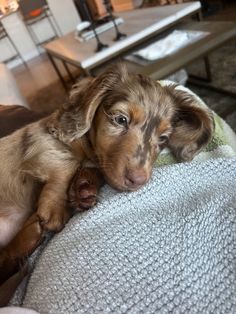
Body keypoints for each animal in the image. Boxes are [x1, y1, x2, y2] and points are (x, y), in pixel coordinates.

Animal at [0, 63, 214, 300]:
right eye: (121, 119)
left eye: (163, 138)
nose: (138, 180)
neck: (87, 150)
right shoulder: (42, 139)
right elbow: (67, 161)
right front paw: (55, 207)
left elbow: (95, 171)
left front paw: (83, 189)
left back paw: (28, 236)